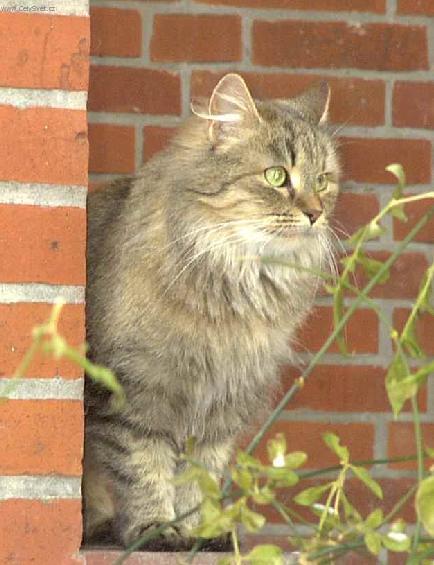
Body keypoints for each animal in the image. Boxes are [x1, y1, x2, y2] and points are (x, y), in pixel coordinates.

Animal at [83, 72, 340, 548]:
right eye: (277, 176)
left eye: (323, 181)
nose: (315, 214)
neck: (234, 285)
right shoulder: (136, 394)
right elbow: (144, 469)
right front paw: (154, 529)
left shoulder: (223, 403)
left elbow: (197, 478)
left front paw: (195, 532)